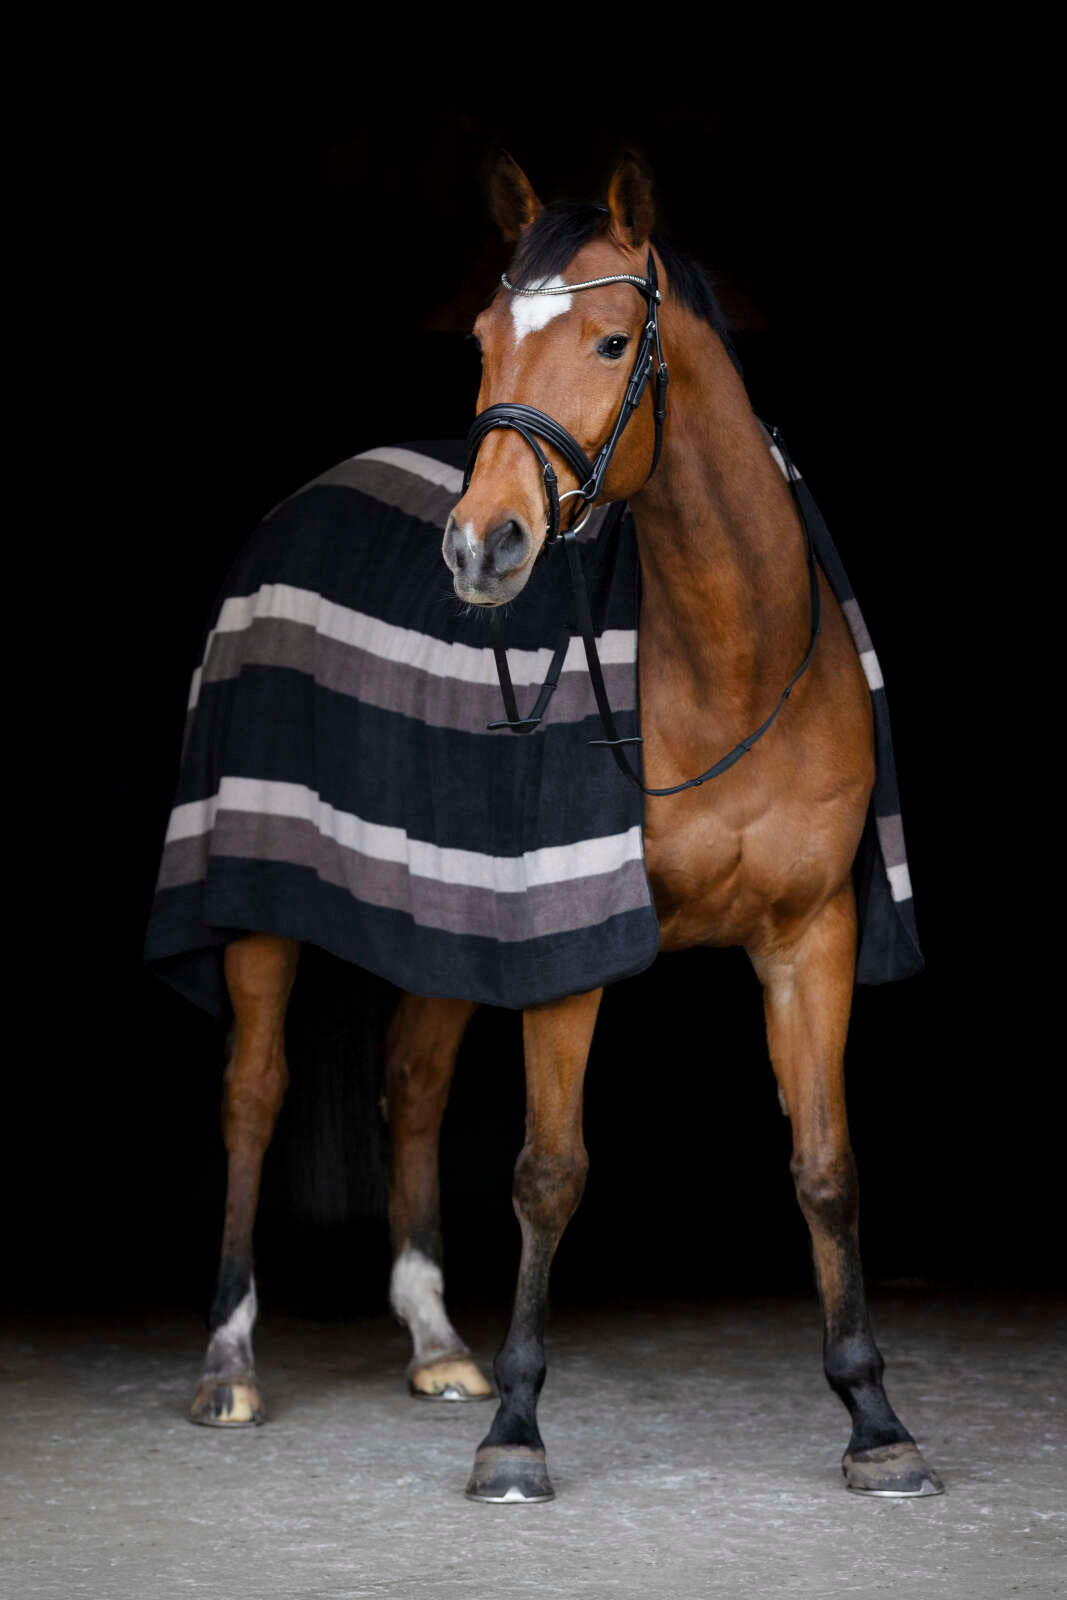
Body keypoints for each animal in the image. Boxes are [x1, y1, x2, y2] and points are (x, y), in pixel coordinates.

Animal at [177, 153, 942, 1504]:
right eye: (481, 340)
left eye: (612, 339)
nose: (482, 546)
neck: (731, 656)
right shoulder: (561, 942)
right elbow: (547, 1173)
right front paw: (517, 1431)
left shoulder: (811, 935)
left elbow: (825, 1167)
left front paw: (871, 1415)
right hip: (255, 904)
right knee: (254, 1093)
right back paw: (231, 1361)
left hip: (435, 917)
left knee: (412, 1086)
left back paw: (436, 1343)